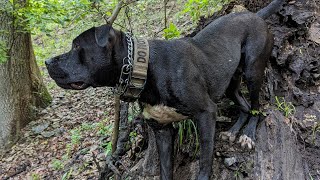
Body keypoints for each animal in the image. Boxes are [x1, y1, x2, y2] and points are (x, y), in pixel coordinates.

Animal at [46, 0, 284, 179]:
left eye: (77, 47)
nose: (47, 61)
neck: (145, 68)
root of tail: (256, 16)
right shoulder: (162, 130)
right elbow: (165, 169)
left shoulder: (206, 112)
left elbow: (205, 160)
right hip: (229, 83)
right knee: (244, 105)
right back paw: (234, 131)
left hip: (253, 70)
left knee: (257, 107)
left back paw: (248, 134)